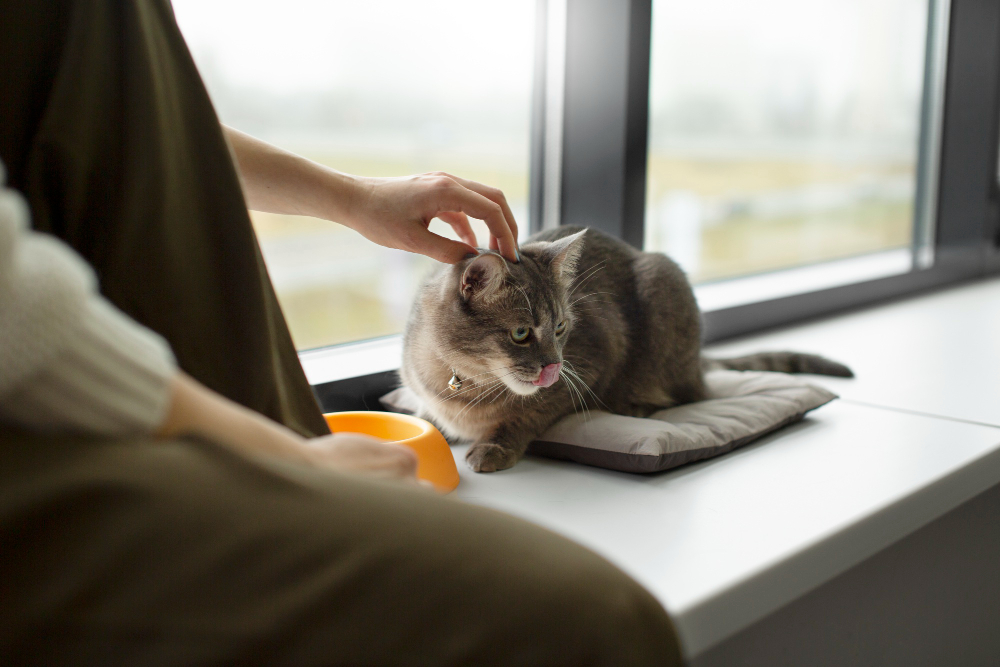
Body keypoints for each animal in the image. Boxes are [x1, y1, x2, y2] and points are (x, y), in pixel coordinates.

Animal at [398, 227, 852, 472]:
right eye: (522, 333)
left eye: (561, 328)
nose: (555, 367)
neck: (465, 383)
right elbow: (425, 412)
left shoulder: (592, 362)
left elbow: (527, 414)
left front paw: (495, 445)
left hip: (664, 288)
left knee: (687, 393)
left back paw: (637, 403)